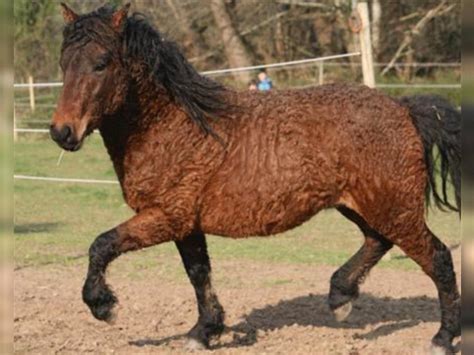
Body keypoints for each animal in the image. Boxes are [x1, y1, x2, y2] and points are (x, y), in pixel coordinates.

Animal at [51, 2, 460, 354]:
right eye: (63, 63)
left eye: (101, 63)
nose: (62, 132)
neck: (174, 127)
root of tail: (403, 108)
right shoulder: (186, 224)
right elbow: (198, 274)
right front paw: (204, 331)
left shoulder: (166, 217)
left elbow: (102, 245)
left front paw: (103, 305)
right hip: (363, 205)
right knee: (378, 241)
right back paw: (339, 297)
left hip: (393, 208)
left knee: (437, 258)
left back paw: (443, 337)